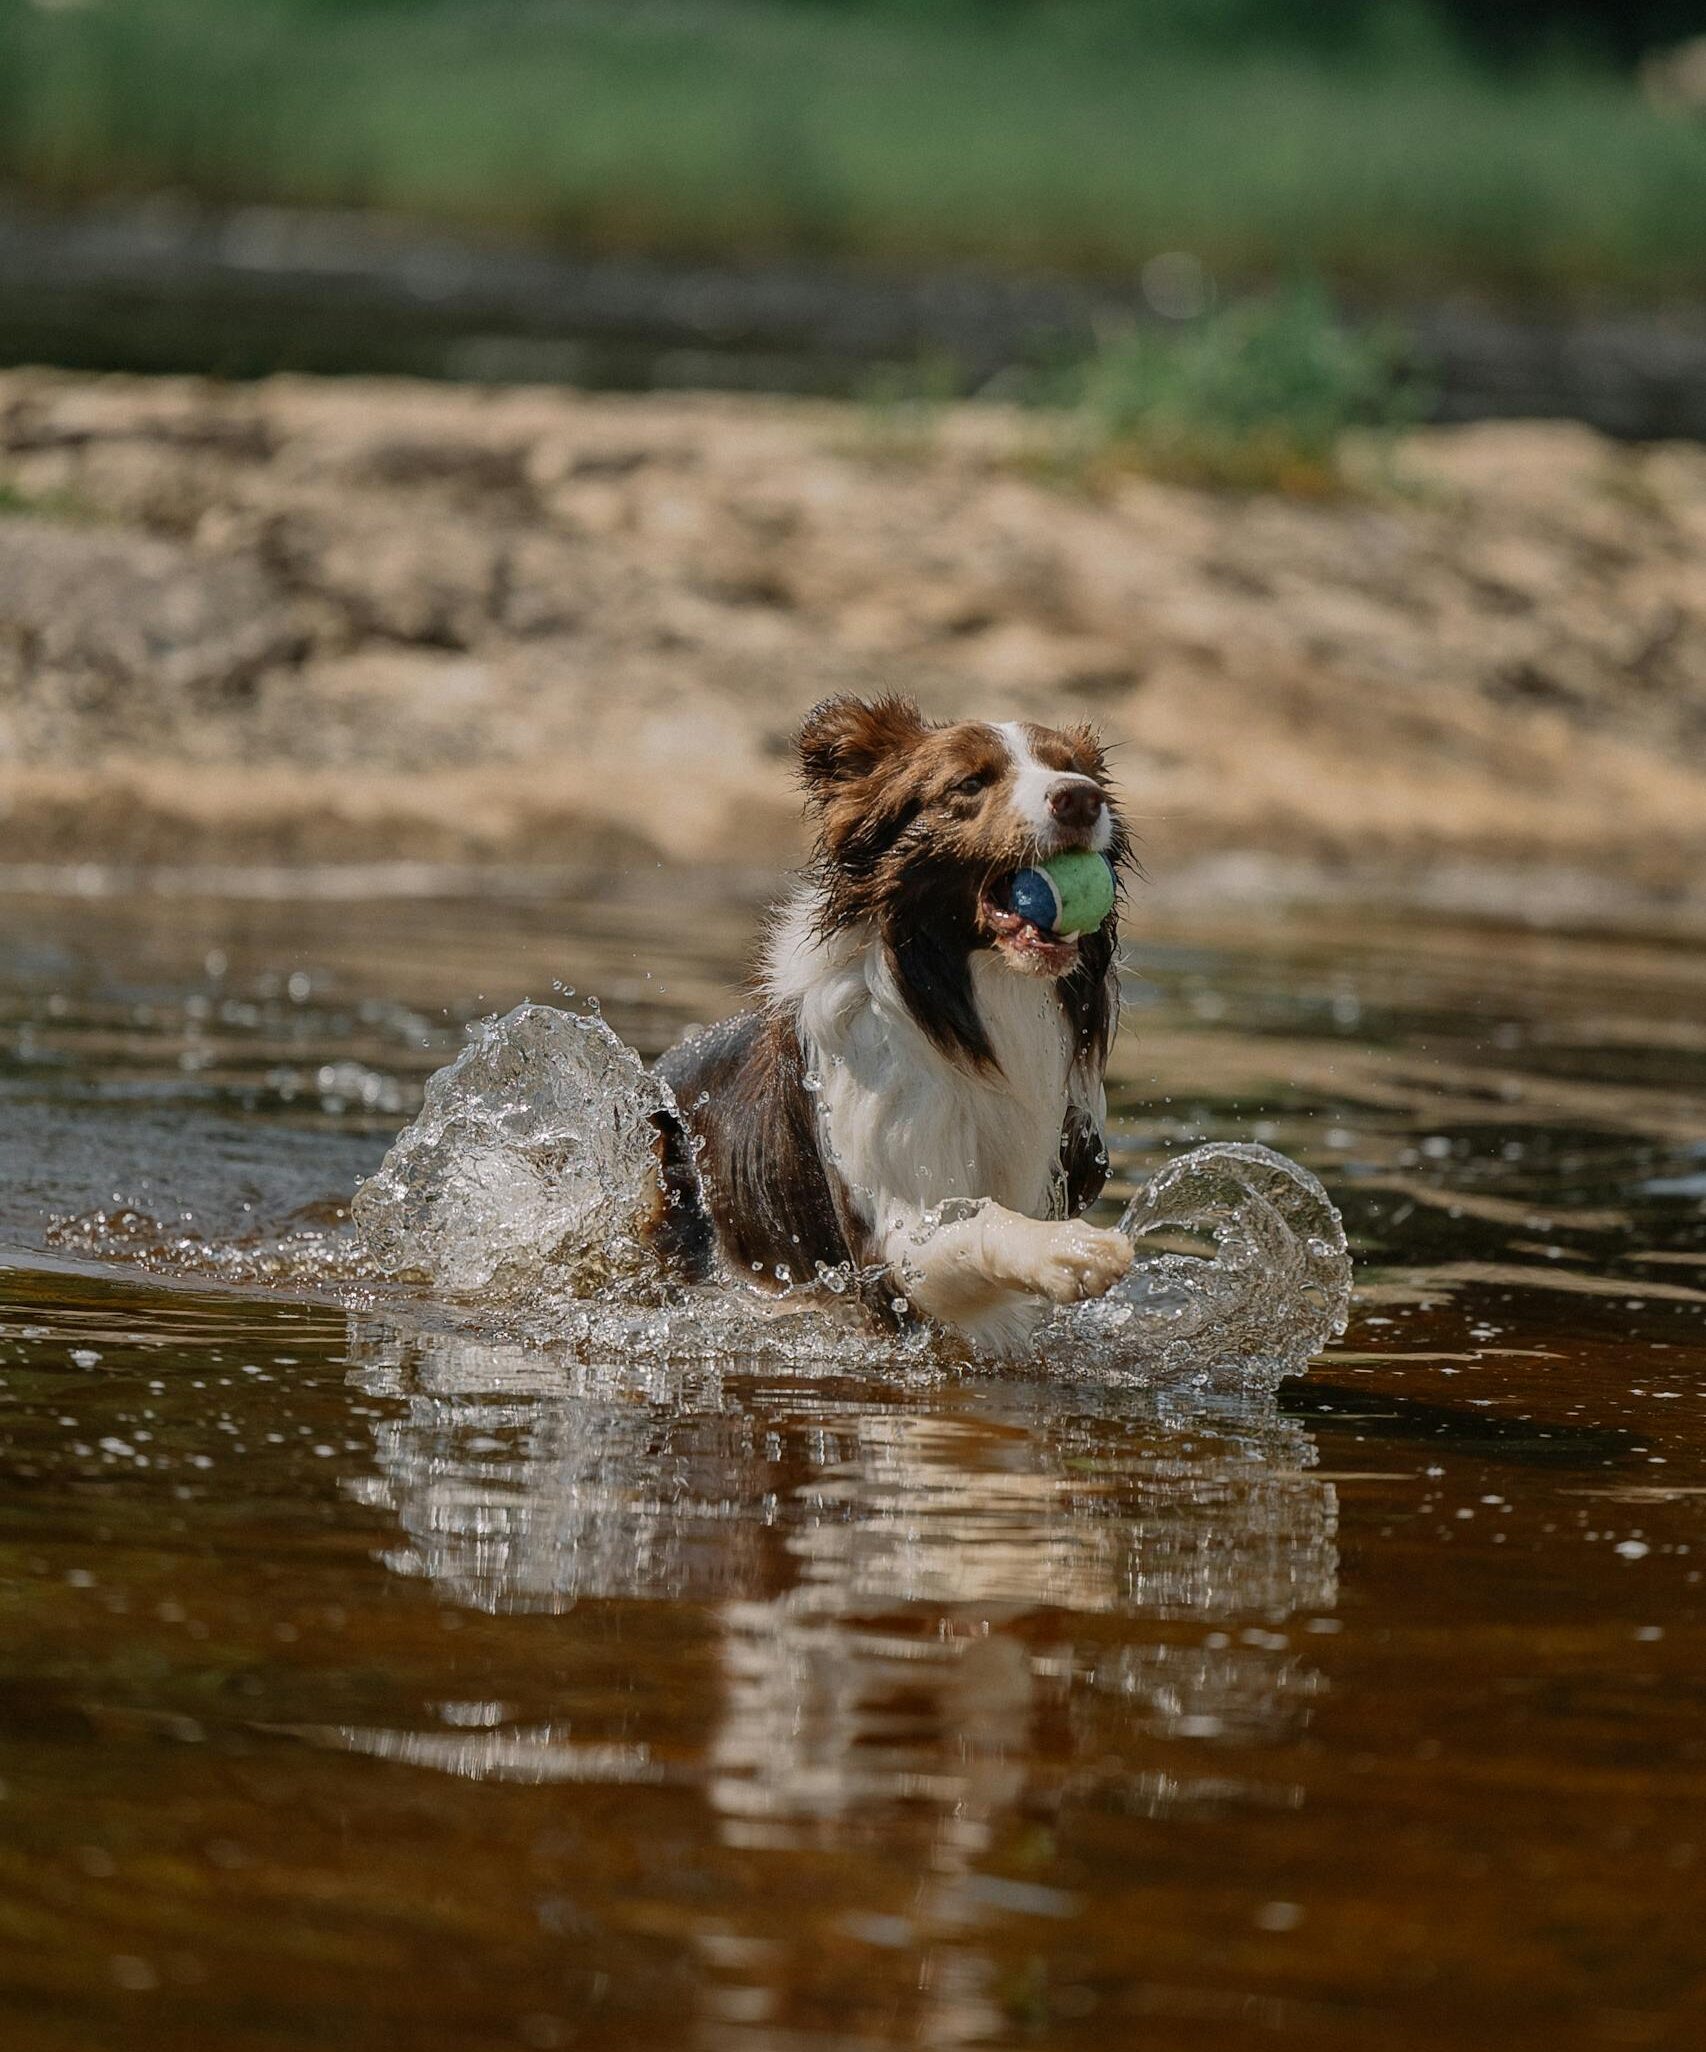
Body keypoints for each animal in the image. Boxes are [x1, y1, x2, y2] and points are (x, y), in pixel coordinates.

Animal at [652, 697, 1133, 1354]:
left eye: (1074, 770)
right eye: (969, 783)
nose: (1081, 800)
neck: (964, 1003)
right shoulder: (884, 1241)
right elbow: (975, 1222)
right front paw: (1068, 1250)